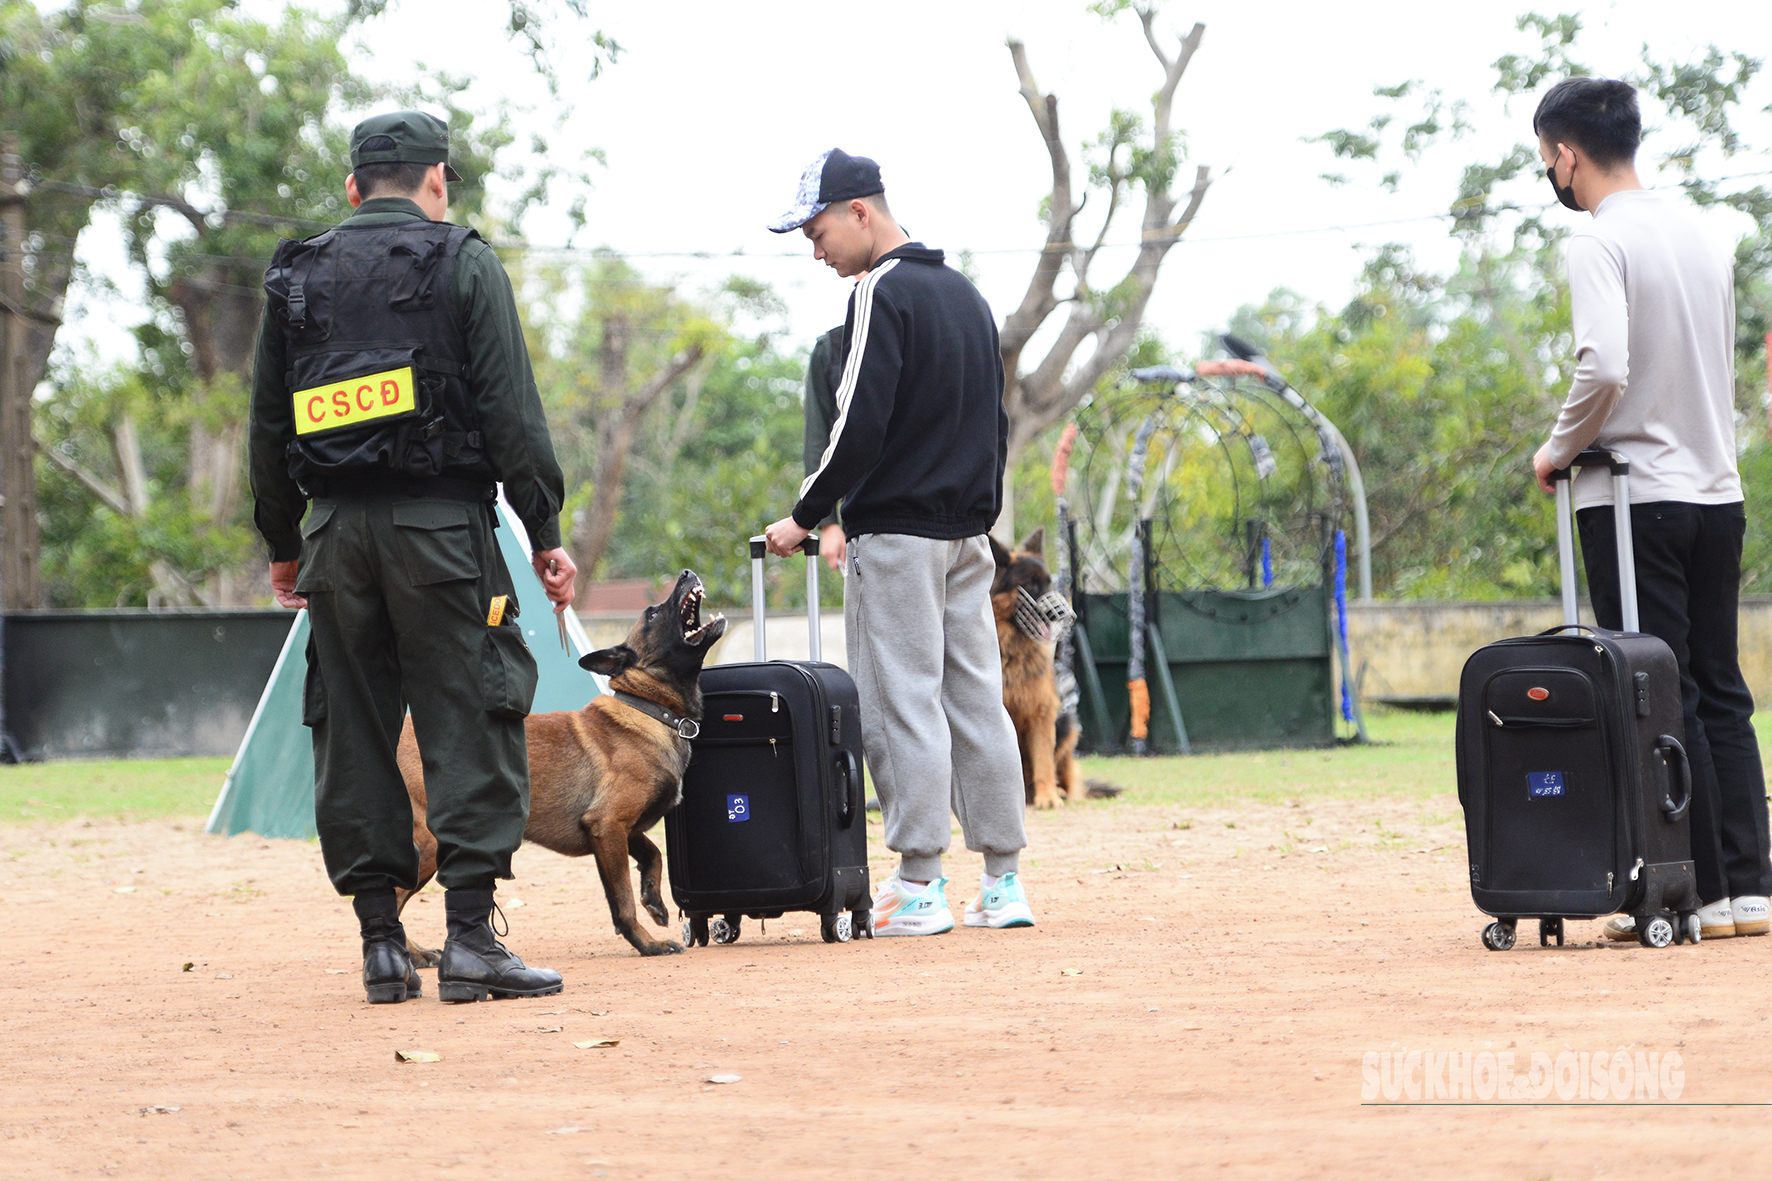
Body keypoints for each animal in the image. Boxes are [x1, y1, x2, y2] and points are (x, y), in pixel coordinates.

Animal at [396, 570, 726, 957]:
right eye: (653, 614)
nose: (687, 574)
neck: (650, 709)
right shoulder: (608, 825)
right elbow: (623, 902)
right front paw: (647, 943)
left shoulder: (621, 829)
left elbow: (654, 854)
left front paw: (654, 900)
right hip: (429, 843)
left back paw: (415, 954)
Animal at [985, 528, 1077, 805]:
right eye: (1031, 585)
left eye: (1049, 583)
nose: (1065, 614)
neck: (1011, 651)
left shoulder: (1041, 713)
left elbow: (1044, 760)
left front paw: (1048, 798)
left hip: (1066, 723)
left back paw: (1059, 792)